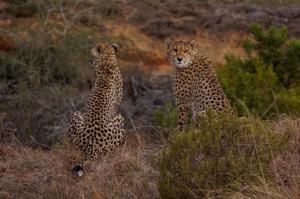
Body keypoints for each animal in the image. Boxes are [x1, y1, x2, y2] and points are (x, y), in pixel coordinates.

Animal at [68, 42, 124, 176]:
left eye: (91, 53)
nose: (89, 59)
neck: (107, 59)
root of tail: (91, 144)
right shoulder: (117, 106)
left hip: (76, 115)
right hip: (119, 118)